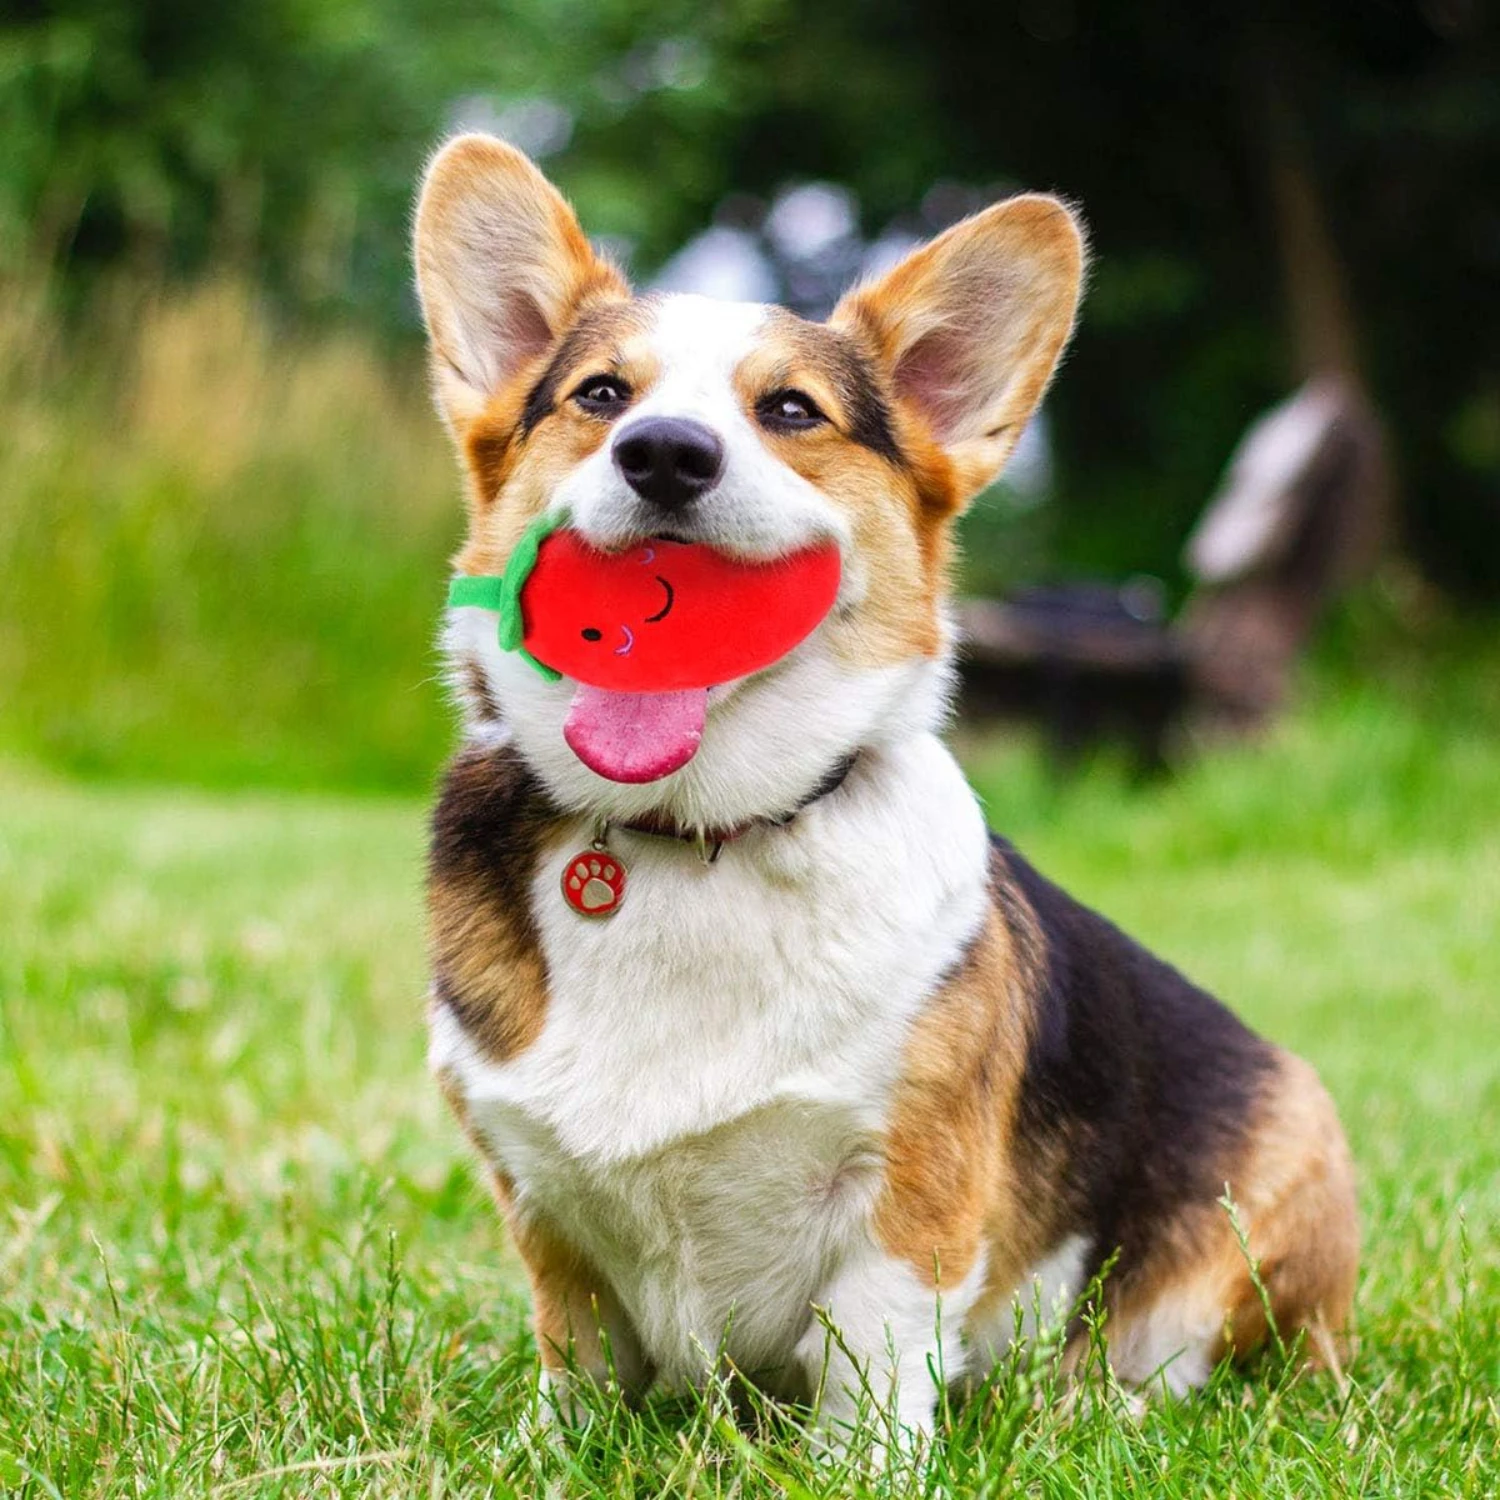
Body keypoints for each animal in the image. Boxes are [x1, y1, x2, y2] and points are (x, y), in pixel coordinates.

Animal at [414, 138, 1362, 1440]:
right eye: (601, 396)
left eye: (790, 411)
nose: (664, 453)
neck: (695, 835)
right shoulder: (541, 1205)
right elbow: (578, 1364)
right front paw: (551, 1449)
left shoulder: (904, 1196)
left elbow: (871, 1366)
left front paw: (860, 1460)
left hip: (1269, 1193)